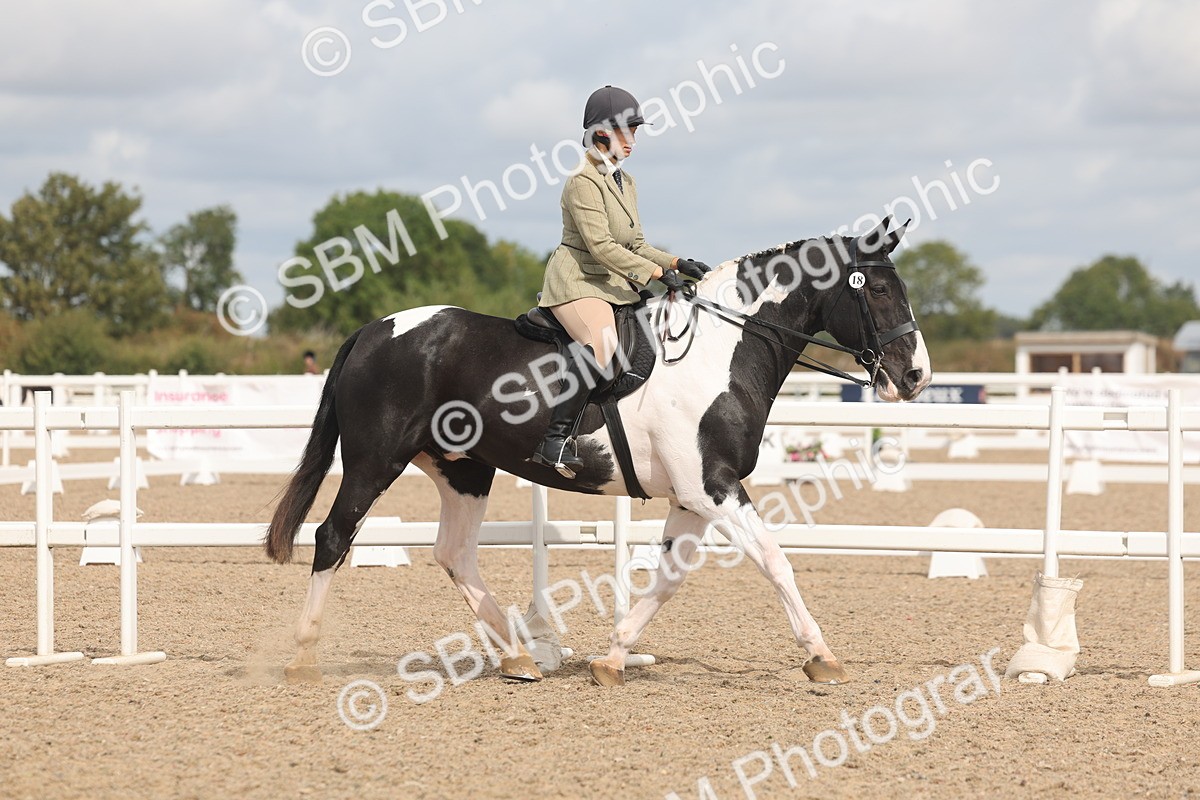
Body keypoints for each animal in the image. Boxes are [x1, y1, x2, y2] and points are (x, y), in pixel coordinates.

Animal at [265, 215, 931, 687]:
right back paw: (302, 658)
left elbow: (668, 579)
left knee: (454, 554)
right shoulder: (712, 487)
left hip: (464, 470)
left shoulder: (692, 497)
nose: (916, 375)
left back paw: (518, 658)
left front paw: (613, 658)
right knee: (333, 537)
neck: (722, 350)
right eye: (875, 288)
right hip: (375, 461)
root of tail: (376, 329)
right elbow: (774, 559)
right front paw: (822, 655)